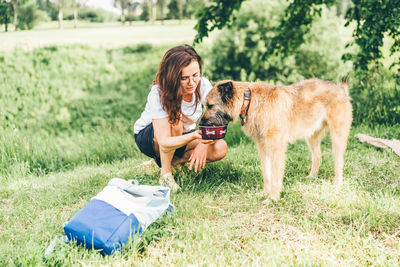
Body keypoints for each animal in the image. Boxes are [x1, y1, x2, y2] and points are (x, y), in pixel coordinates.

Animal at [202, 79, 352, 201]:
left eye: (210, 105)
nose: (201, 123)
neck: (248, 100)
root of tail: (340, 88)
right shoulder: (263, 147)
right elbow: (266, 174)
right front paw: (266, 193)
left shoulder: (276, 147)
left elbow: (275, 175)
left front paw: (273, 198)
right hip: (311, 136)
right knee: (318, 156)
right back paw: (312, 177)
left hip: (337, 137)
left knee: (339, 161)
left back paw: (337, 183)